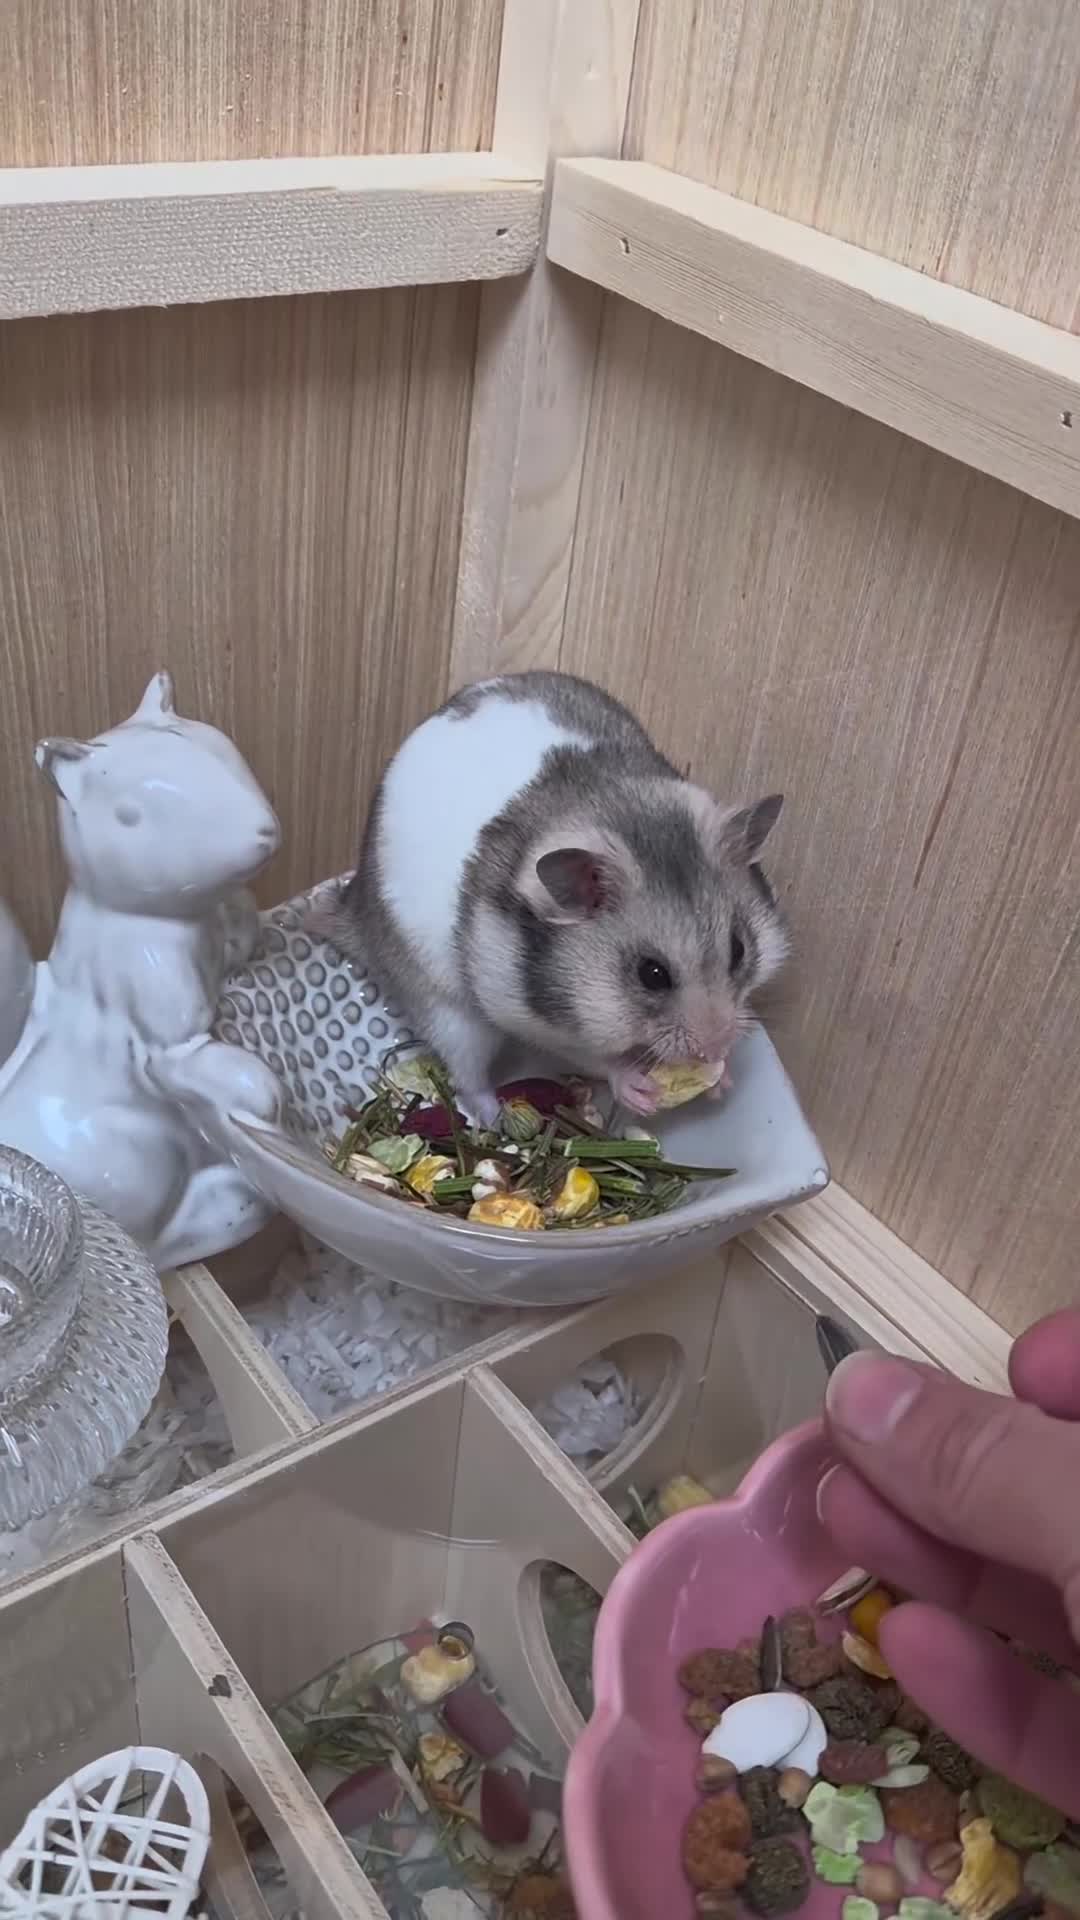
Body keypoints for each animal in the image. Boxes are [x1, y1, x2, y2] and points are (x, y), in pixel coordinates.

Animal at [319, 671, 788, 1123]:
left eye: (739, 950)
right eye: (652, 974)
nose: (714, 1048)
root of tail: (355, 908)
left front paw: (721, 1079)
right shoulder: (532, 1021)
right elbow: (592, 1057)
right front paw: (640, 1090)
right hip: (449, 1014)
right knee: (468, 1079)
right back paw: (494, 1118)